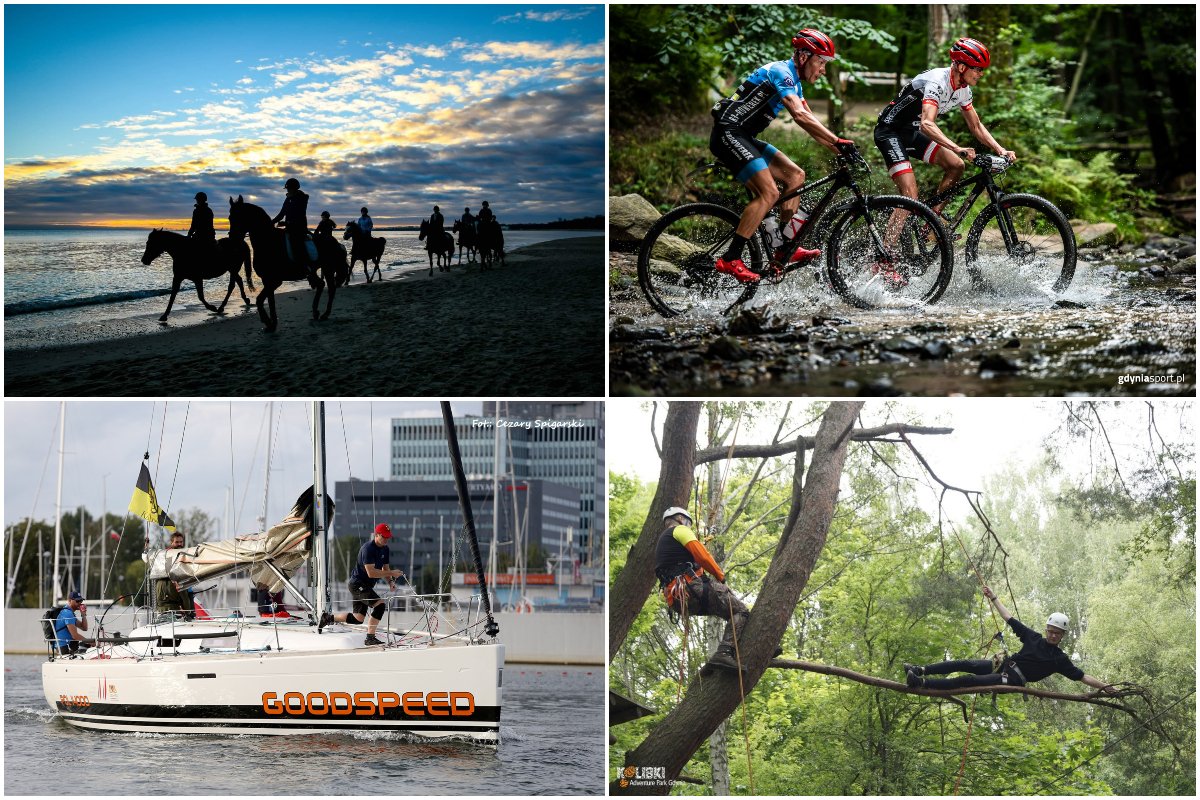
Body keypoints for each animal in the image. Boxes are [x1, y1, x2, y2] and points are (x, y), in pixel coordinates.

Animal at [225, 196, 348, 331]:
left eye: (240, 217)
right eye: (230, 218)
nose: (232, 240)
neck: (268, 242)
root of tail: (335, 242)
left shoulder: (275, 280)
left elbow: (259, 300)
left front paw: (267, 322)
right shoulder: (267, 280)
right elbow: (270, 301)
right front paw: (272, 324)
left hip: (328, 268)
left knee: (331, 288)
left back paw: (325, 314)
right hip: (318, 270)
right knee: (322, 285)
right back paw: (316, 312)